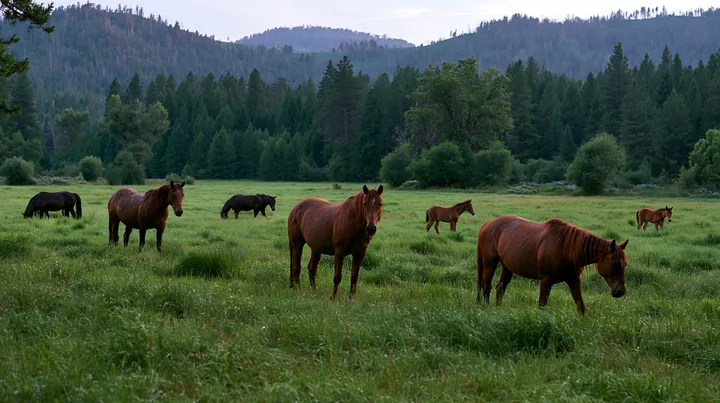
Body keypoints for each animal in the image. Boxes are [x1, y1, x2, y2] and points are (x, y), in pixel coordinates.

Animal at [476, 215, 628, 315]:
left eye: (625, 265)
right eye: (614, 264)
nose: (620, 292)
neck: (567, 250)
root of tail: (487, 224)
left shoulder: (574, 280)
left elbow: (581, 307)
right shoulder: (546, 280)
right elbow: (542, 306)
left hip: (507, 267)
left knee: (500, 287)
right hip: (490, 263)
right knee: (486, 285)